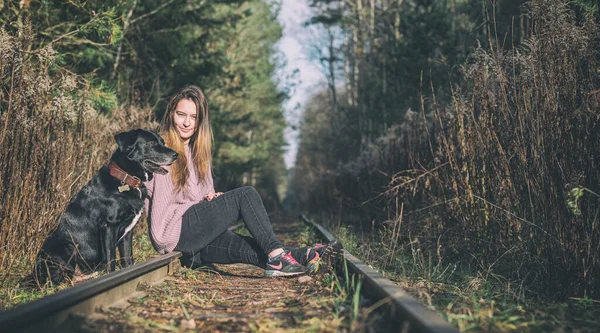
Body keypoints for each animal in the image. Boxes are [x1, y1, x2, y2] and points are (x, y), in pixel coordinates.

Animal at [31, 128, 176, 286]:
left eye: (163, 142)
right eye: (153, 143)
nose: (176, 155)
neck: (125, 178)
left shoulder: (128, 231)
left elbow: (127, 258)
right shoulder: (109, 226)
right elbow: (111, 259)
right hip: (68, 247)